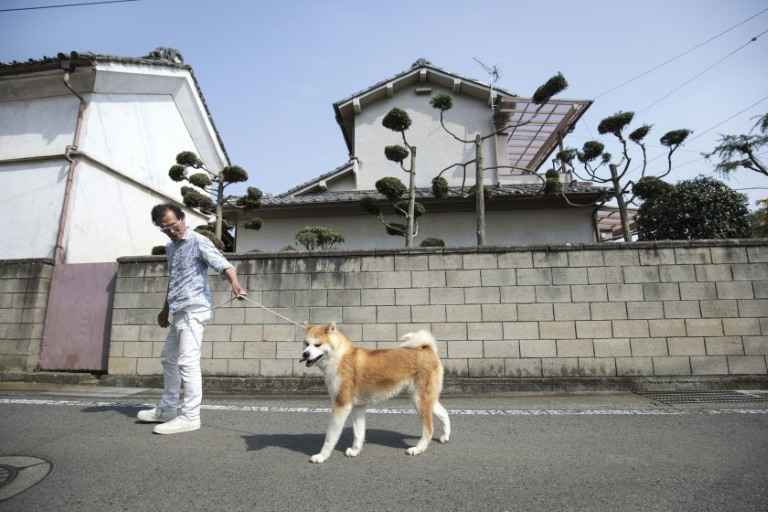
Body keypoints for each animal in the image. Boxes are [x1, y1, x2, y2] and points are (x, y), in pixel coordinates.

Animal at [296, 324, 448, 464]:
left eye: (317, 344)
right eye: (306, 343)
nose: (305, 354)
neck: (338, 358)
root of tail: (427, 348)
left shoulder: (341, 405)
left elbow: (330, 437)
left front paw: (321, 456)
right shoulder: (358, 407)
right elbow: (358, 433)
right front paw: (355, 451)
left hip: (419, 400)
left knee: (429, 429)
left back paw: (418, 449)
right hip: (425, 399)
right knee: (444, 413)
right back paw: (445, 436)